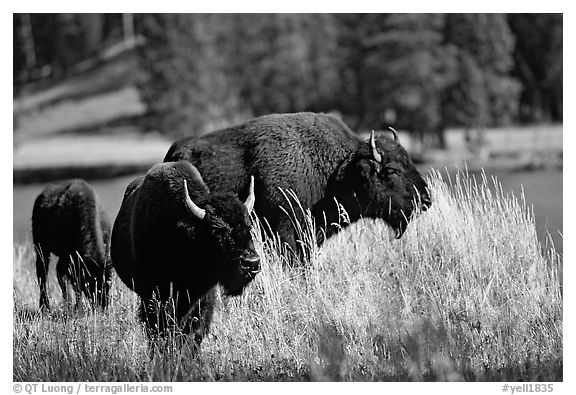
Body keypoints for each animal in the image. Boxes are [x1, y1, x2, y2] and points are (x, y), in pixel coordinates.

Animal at [31, 179, 111, 312]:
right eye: (90, 280)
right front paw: (77, 309)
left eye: (109, 281)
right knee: (42, 274)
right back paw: (45, 307)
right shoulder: (69, 258)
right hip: (41, 248)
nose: (102, 306)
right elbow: (74, 284)